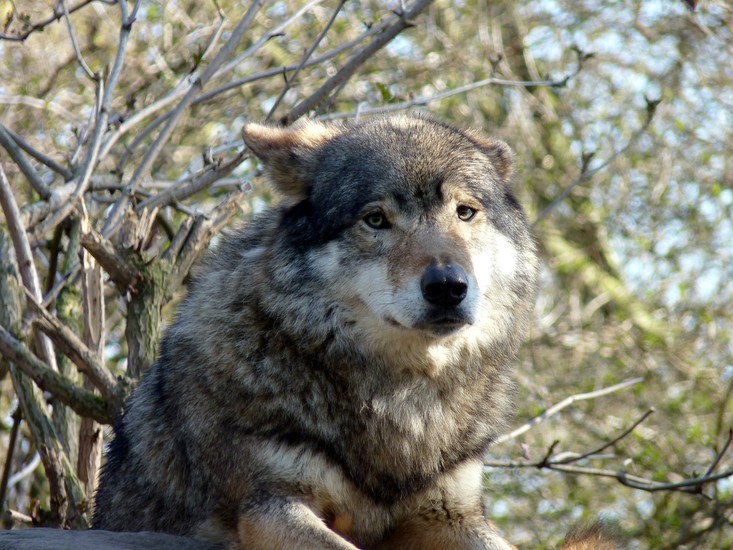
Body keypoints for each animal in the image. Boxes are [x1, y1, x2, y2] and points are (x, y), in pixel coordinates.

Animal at [93, 114, 540, 549]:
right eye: (375, 220)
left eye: (465, 212)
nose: (447, 287)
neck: (403, 399)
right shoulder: (270, 504)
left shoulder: (451, 512)